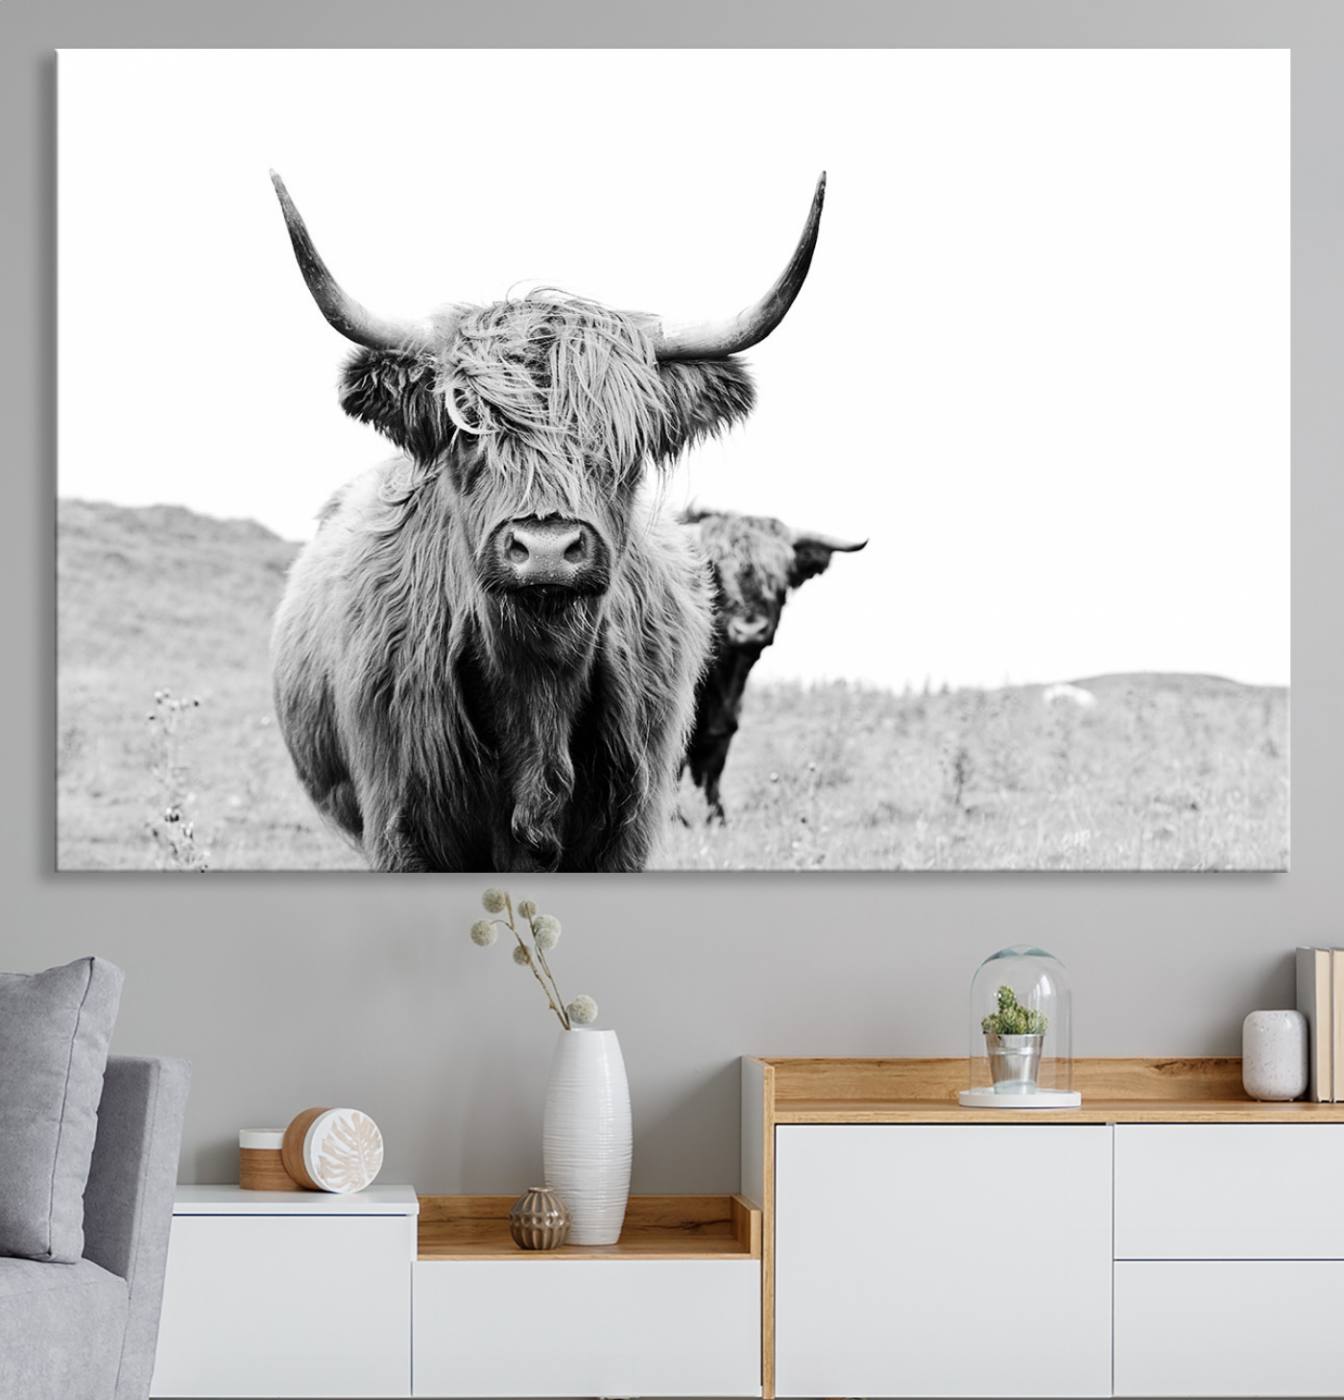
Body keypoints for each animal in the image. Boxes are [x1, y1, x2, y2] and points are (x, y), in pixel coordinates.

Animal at [267, 171, 826, 871]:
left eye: (626, 439)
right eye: (467, 428)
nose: (547, 549)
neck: (537, 687)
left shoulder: (628, 830)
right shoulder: (400, 826)